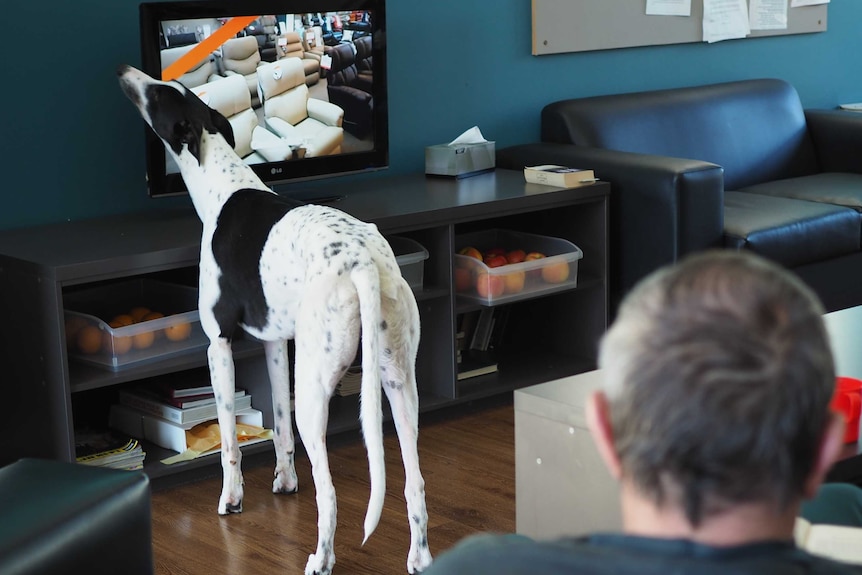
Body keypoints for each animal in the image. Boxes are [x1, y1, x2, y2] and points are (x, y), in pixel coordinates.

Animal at [118, 65, 436, 572]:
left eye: (160, 94)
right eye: (173, 89)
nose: (125, 72)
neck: (222, 183)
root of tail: (363, 263)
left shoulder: (219, 345)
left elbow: (229, 440)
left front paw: (231, 499)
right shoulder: (275, 344)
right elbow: (279, 427)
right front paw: (285, 481)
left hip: (317, 392)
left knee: (330, 495)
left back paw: (320, 558)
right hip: (397, 383)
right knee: (415, 482)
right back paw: (420, 557)